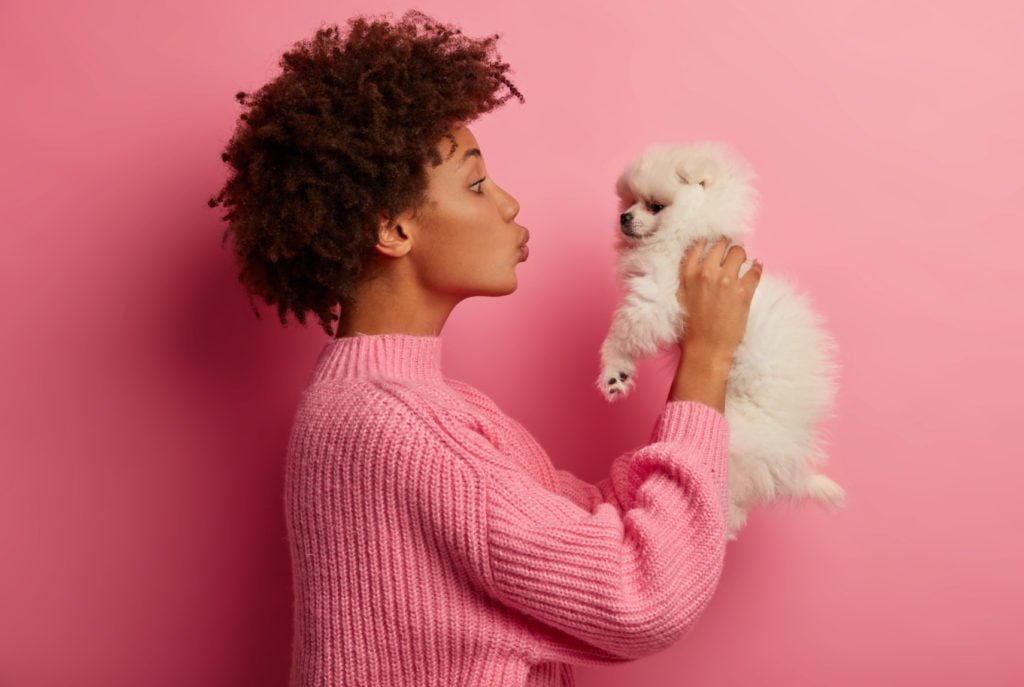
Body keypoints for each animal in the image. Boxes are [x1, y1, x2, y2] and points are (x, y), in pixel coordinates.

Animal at [598, 139, 843, 540]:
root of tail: (792, 453)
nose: (623, 218)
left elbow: (624, 331)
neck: (689, 232)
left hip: (739, 433)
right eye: (629, 201)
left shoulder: (657, 295)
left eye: (655, 206)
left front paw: (613, 372)